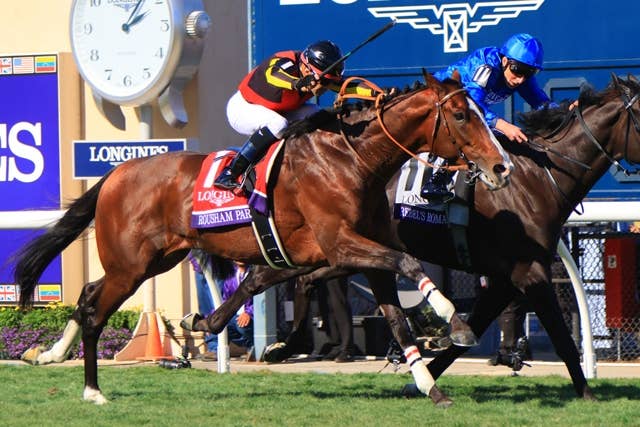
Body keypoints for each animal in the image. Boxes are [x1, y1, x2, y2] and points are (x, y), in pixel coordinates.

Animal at [14, 71, 512, 405]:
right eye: (462, 115)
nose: (501, 166)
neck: (352, 159)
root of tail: (116, 174)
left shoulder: (358, 254)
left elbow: (395, 317)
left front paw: (430, 387)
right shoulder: (340, 245)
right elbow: (408, 265)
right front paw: (456, 322)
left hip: (151, 261)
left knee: (87, 294)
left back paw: (52, 355)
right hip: (130, 265)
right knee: (95, 311)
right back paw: (92, 389)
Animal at [210, 74, 640, 404]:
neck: (536, 178)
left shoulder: (505, 278)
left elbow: (473, 329)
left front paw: (421, 377)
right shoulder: (528, 272)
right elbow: (559, 334)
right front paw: (587, 393)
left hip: (327, 247)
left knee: (278, 277)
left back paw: (242, 330)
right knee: (291, 280)